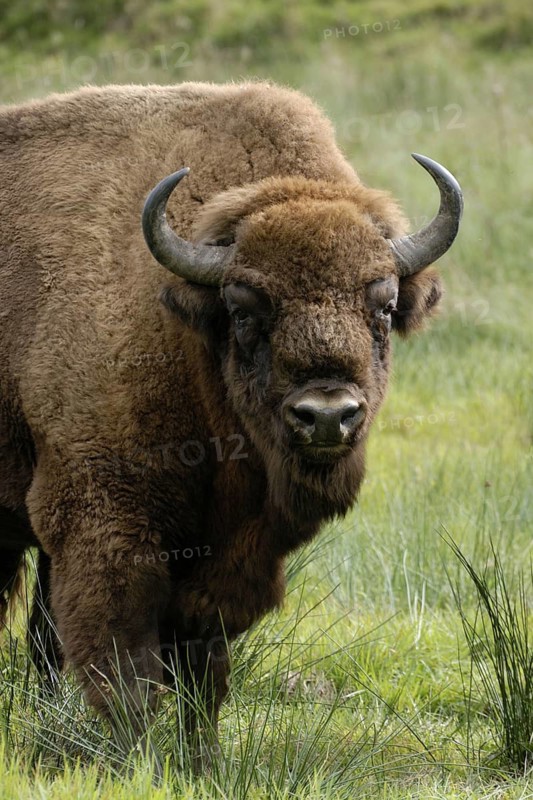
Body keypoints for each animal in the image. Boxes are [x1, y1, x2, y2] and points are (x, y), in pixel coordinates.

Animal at [0, 81, 463, 765]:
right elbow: (126, 674)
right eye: (245, 310)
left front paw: (205, 764)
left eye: (383, 305)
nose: (327, 416)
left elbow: (204, 676)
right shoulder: (103, 529)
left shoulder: (228, 557)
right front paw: (140, 762)